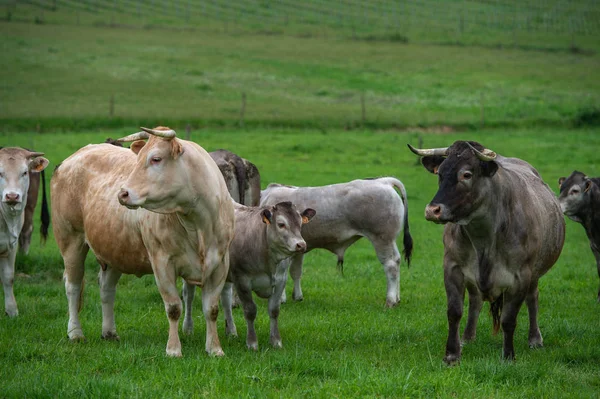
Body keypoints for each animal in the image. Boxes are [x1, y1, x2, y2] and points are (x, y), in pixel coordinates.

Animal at [51, 126, 234, 358]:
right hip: (71, 240)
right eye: (137, 160)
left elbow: (211, 309)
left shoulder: (220, 263)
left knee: (107, 288)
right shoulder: (162, 261)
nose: (123, 193)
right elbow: (174, 308)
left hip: (116, 249)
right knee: (73, 286)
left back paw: (109, 332)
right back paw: (75, 332)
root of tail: (72, 158)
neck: (198, 224)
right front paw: (173, 349)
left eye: (156, 158)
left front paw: (215, 349)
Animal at [260, 177, 414, 308]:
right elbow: (295, 272)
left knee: (391, 264)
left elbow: (281, 274)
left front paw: (280, 299)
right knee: (397, 261)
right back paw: (397, 298)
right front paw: (297, 296)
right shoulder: (298, 249)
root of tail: (385, 181)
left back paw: (391, 300)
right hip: (390, 240)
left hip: (382, 239)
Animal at [410, 142, 564, 364]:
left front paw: (508, 356)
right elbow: (454, 312)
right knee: (475, 300)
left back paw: (535, 339)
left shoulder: (521, 276)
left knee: (532, 298)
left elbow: (509, 319)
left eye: (466, 174)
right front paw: (452, 354)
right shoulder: (452, 267)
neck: (484, 237)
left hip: (535, 273)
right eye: (440, 173)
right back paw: (467, 337)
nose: (432, 210)